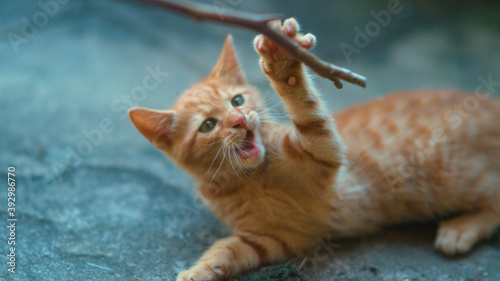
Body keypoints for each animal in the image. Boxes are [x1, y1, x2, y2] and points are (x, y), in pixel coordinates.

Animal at [128, 18, 500, 278]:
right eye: (207, 125)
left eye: (237, 100)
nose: (238, 120)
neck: (252, 179)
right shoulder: (278, 237)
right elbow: (230, 248)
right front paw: (202, 270)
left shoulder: (323, 151)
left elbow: (307, 110)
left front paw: (282, 64)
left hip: (449, 174)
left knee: (494, 197)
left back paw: (460, 230)